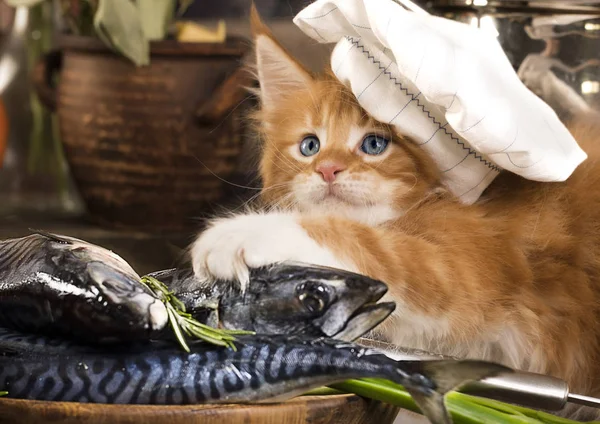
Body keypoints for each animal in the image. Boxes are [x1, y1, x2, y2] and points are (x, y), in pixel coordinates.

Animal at [191, 8, 600, 420]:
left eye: (375, 144)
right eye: (310, 146)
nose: (327, 170)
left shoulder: (465, 262)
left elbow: (364, 243)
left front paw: (239, 234)